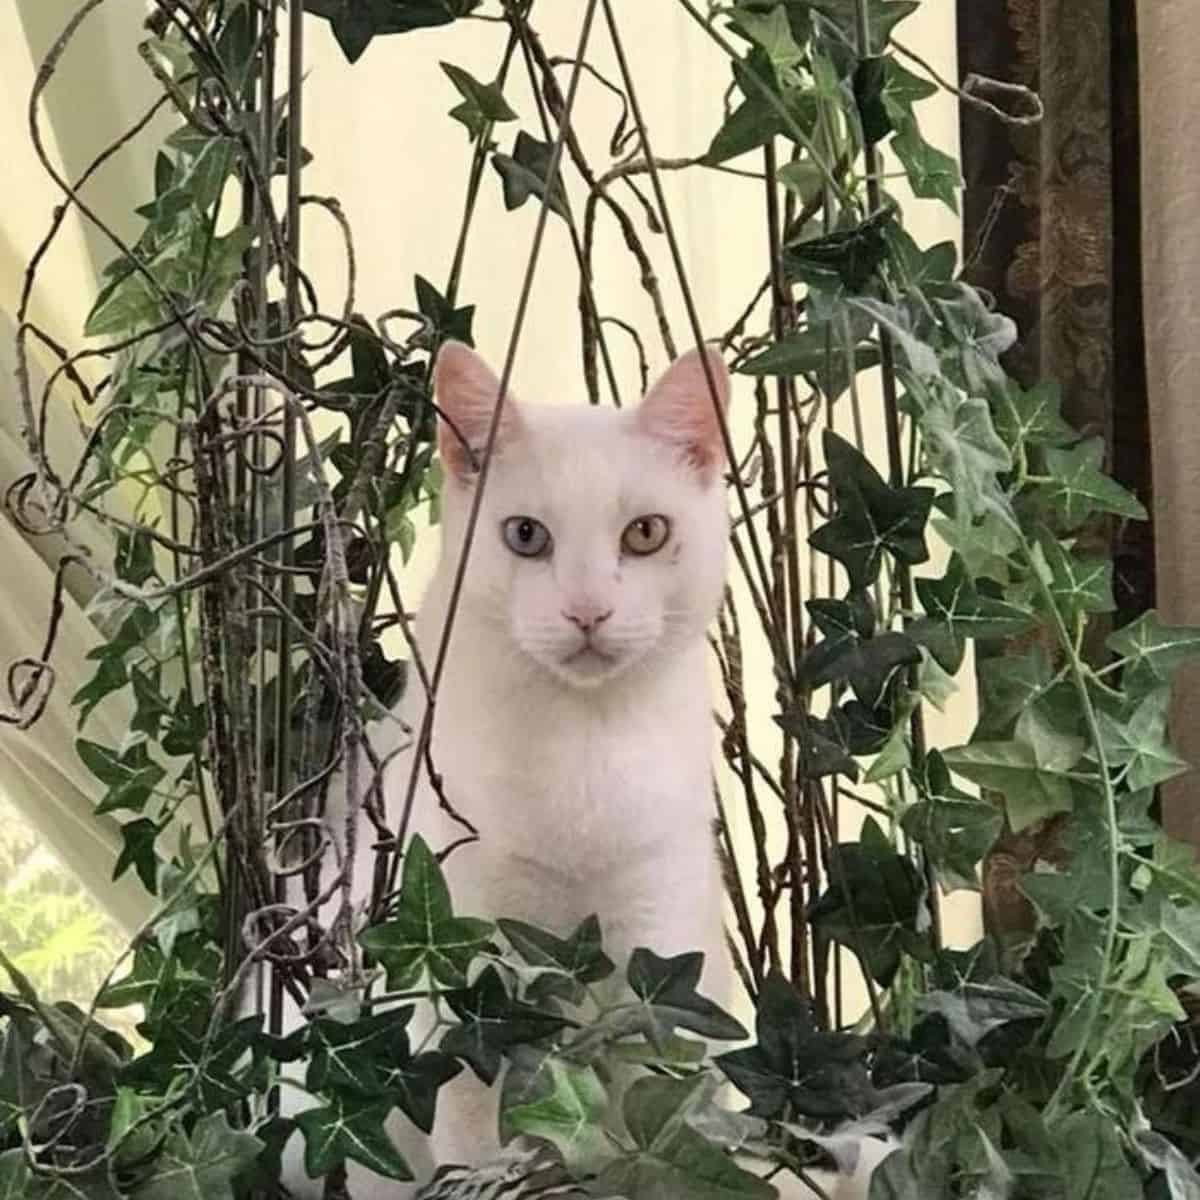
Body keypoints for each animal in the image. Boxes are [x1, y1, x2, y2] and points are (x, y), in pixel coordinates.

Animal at [282, 340, 883, 1200]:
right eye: (526, 535)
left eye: (646, 533)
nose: (588, 610)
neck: (582, 740)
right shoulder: (466, 960)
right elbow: (470, 1100)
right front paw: (482, 1171)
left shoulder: (658, 931)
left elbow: (654, 1070)